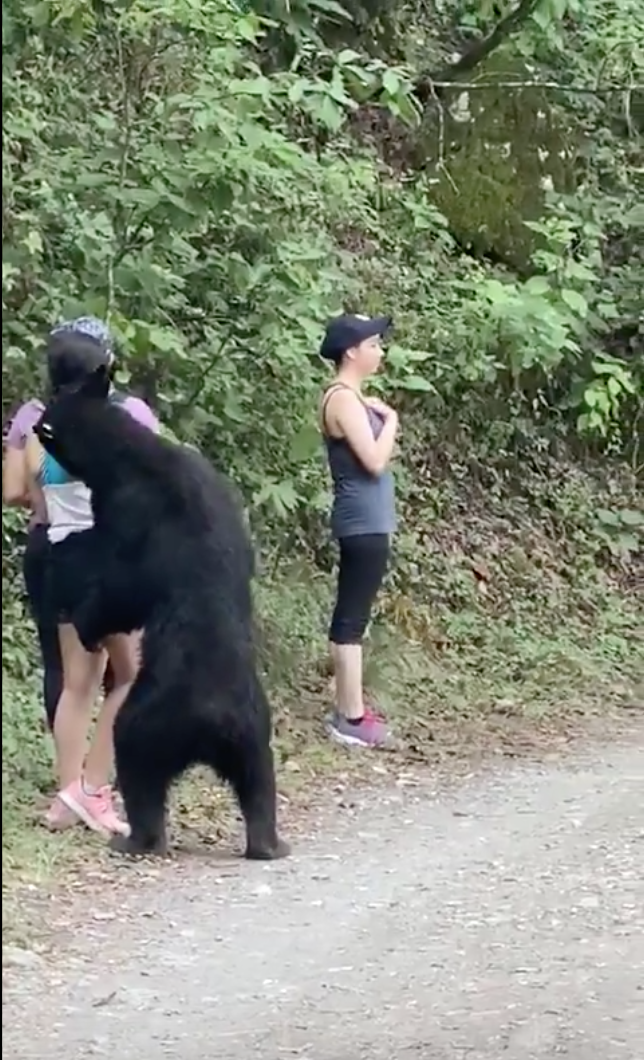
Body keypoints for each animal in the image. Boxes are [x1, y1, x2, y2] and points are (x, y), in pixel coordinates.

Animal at [35, 362, 290, 861]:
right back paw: (269, 843)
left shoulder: (131, 514)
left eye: (46, 419)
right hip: (254, 731)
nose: (35, 423)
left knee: (138, 766)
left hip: (151, 719)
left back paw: (135, 838)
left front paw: (85, 616)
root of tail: (214, 721)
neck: (127, 455)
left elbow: (119, 584)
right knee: (259, 785)